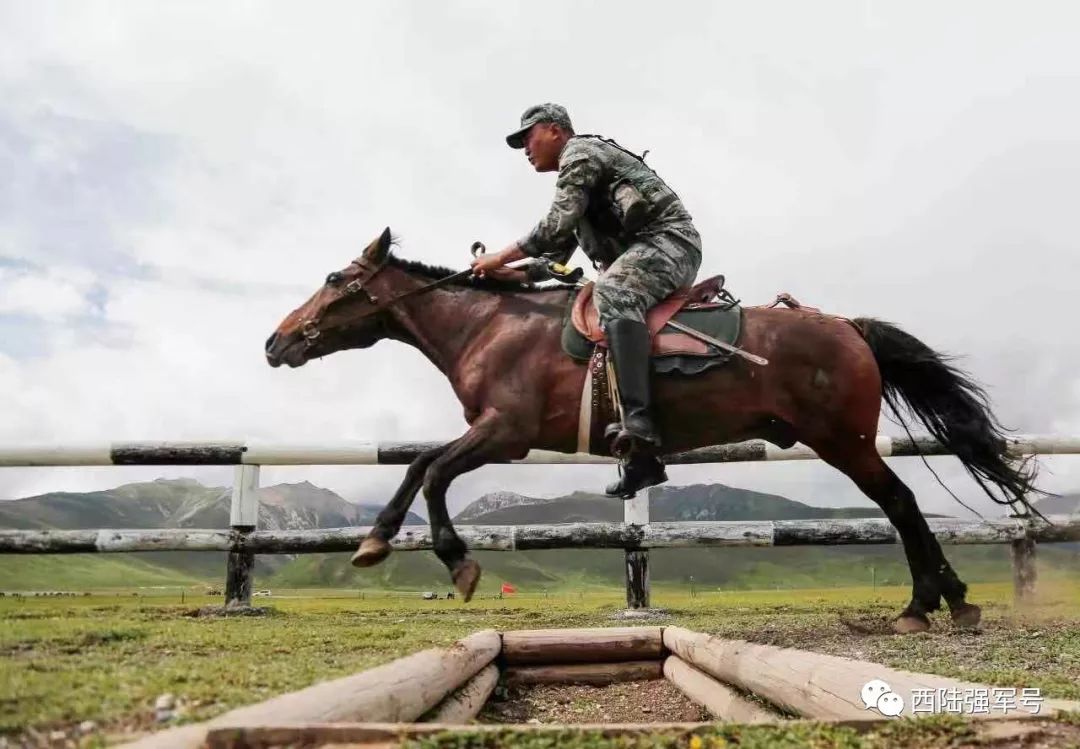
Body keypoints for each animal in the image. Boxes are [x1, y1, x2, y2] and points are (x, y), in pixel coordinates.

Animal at [261, 227, 1036, 634]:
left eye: (335, 278)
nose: (275, 341)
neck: (491, 327)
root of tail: (847, 325)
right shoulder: (495, 434)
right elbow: (423, 466)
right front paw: (387, 542)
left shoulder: (503, 432)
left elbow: (428, 468)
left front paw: (440, 557)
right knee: (903, 507)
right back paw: (945, 599)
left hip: (843, 443)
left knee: (901, 504)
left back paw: (929, 603)